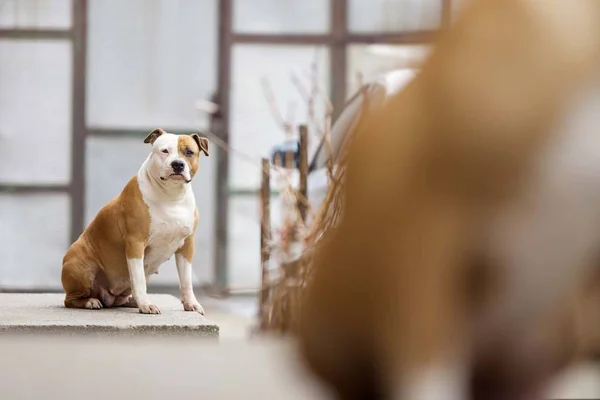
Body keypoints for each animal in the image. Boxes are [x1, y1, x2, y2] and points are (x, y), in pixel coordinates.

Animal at [62, 130, 210, 314]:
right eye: (165, 151)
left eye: (189, 152)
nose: (177, 164)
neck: (171, 195)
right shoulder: (136, 242)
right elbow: (138, 279)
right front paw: (145, 305)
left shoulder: (187, 246)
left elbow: (186, 280)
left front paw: (191, 303)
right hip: (80, 266)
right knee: (70, 299)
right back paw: (90, 301)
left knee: (120, 298)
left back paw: (130, 300)